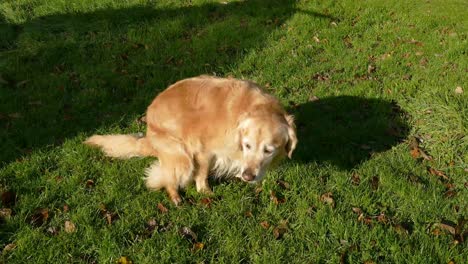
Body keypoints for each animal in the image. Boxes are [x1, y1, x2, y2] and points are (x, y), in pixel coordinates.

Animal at [84, 75, 296, 205]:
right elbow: (201, 176)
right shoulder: (203, 150)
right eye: (247, 145)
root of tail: (149, 133)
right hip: (181, 156)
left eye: (268, 150)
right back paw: (175, 197)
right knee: (167, 178)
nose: (248, 176)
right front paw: (206, 192)